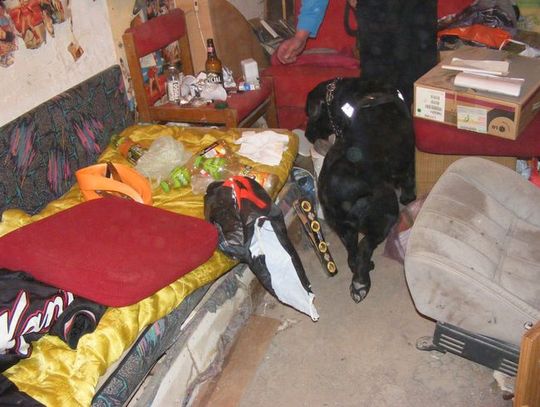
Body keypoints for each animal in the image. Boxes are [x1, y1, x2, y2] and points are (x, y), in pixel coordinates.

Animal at [305, 77, 415, 303]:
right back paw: (360, 283)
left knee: (353, 255)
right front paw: (410, 198)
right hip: (386, 212)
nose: (306, 132)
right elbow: (409, 179)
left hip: (343, 227)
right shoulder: (407, 161)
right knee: (365, 246)